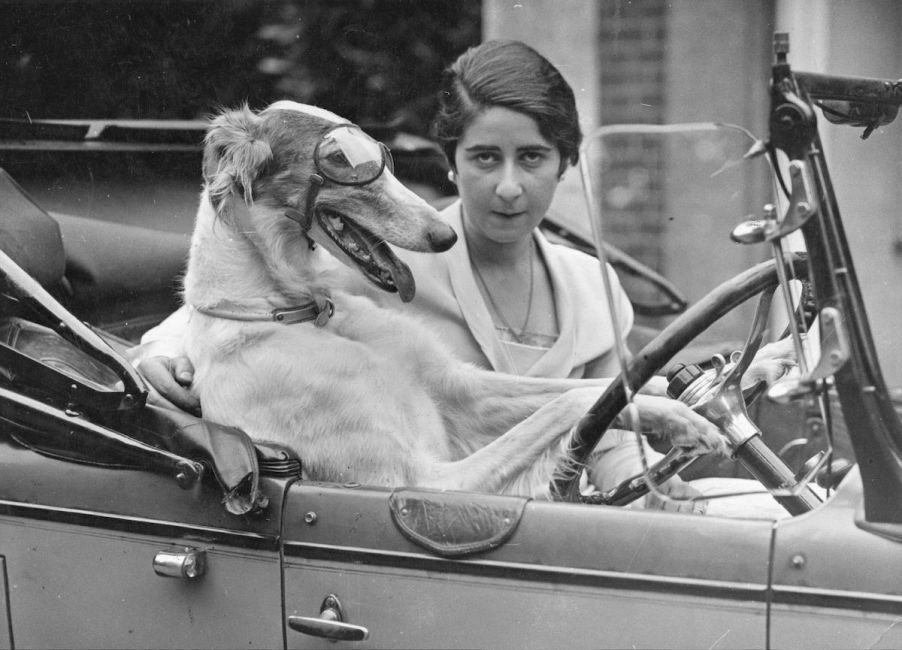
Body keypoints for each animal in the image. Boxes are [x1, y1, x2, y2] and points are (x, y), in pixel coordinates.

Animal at [180, 101, 724, 496]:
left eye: (381, 157)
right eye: (339, 160)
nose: (445, 237)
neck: (300, 312)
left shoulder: (461, 389)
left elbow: (591, 387)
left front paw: (689, 394)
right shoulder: (422, 481)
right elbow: (569, 402)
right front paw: (683, 416)